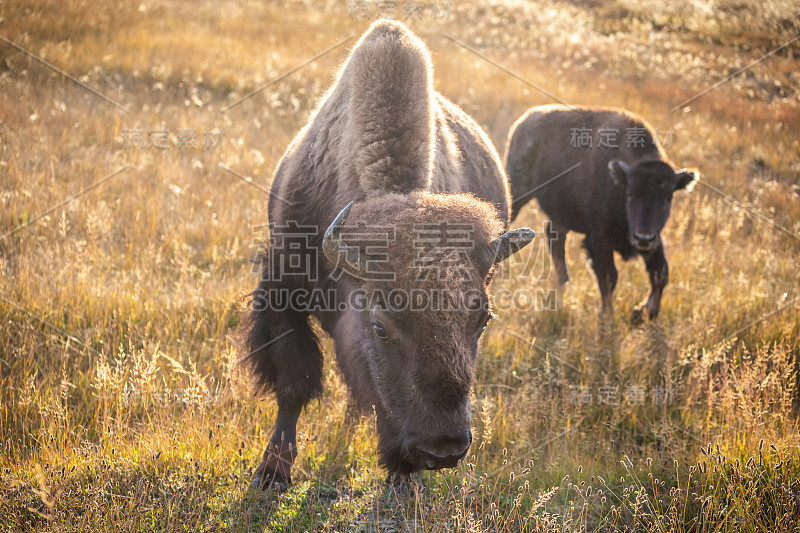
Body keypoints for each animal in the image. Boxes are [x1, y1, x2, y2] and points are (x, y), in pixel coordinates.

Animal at [241, 20, 536, 488]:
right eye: (381, 327)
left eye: (483, 320)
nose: (444, 447)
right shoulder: (282, 291)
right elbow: (293, 382)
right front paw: (272, 474)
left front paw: (402, 478)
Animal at [506, 102, 692, 322]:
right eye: (630, 193)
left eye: (668, 197)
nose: (643, 237)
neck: (619, 179)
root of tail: (524, 120)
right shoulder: (599, 240)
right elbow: (609, 277)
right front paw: (608, 318)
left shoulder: (654, 241)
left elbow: (660, 272)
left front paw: (643, 313)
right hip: (518, 192)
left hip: (561, 214)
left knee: (555, 240)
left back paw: (563, 286)